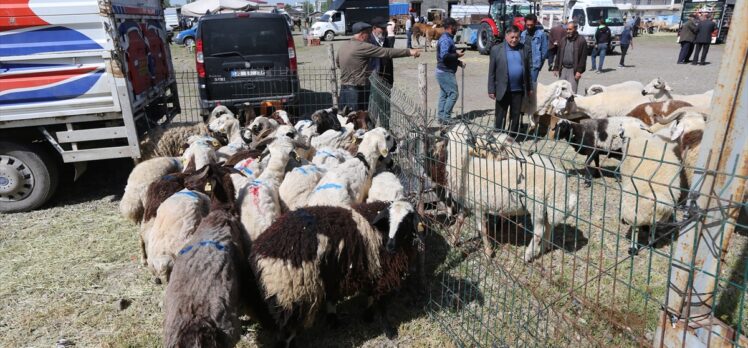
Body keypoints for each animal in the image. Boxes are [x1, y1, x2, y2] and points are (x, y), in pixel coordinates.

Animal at [253, 200, 420, 346]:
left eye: (406, 222)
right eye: (389, 221)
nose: (390, 247)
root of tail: (262, 251)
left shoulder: (370, 270)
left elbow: (368, 296)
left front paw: (366, 316)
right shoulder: (383, 273)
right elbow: (381, 303)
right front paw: (389, 331)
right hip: (291, 293)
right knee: (286, 334)